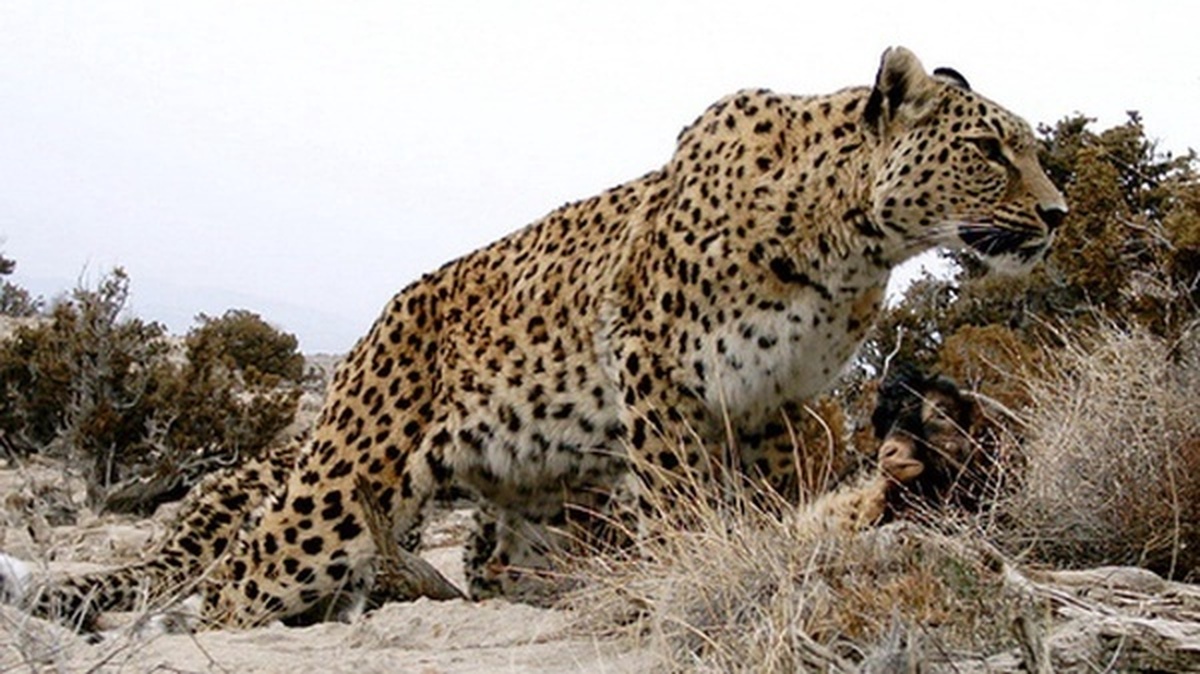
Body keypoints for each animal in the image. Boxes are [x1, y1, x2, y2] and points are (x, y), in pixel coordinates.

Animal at [2, 44, 1070, 628]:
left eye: (1029, 148)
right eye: (989, 149)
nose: (1058, 214)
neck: (848, 241)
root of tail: (374, 327)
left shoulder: (779, 400)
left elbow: (772, 499)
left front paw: (766, 556)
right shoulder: (654, 363)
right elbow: (682, 495)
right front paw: (696, 566)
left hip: (532, 499)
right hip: (343, 486)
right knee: (238, 575)